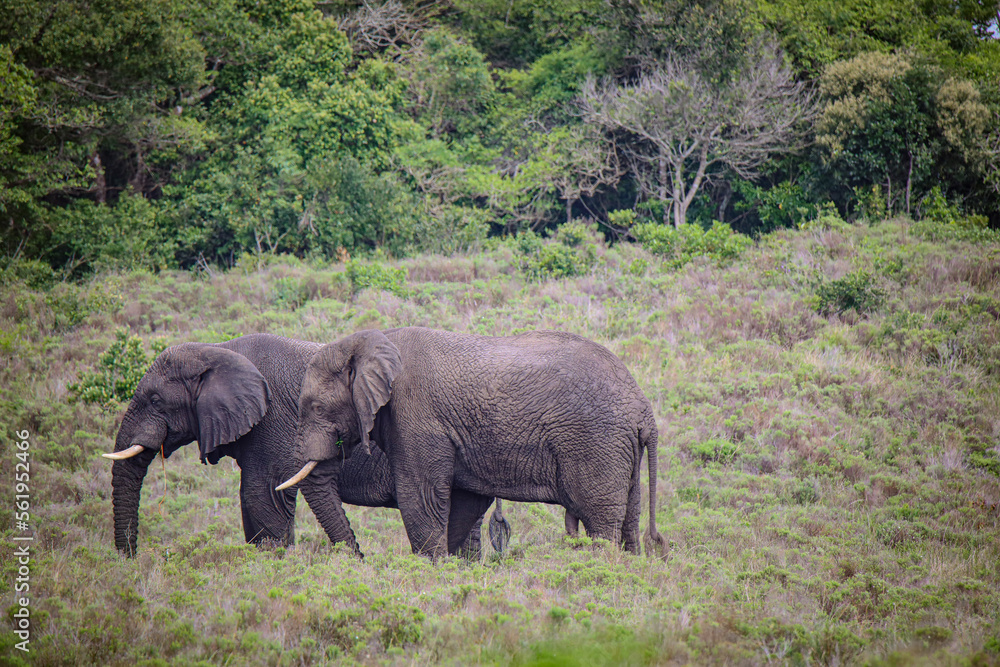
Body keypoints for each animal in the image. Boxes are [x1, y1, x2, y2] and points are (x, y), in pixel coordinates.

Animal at [103, 334, 508, 560]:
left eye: (155, 401)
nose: (132, 560)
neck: (217, 350)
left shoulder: (271, 425)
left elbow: (261, 496)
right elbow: (250, 502)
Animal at [278, 328, 664, 560]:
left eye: (315, 407)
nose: (360, 560)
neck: (369, 341)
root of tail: (644, 409)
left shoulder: (416, 416)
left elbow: (419, 495)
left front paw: (429, 570)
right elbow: (462, 502)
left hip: (595, 442)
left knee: (601, 522)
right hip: (619, 448)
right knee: (628, 520)